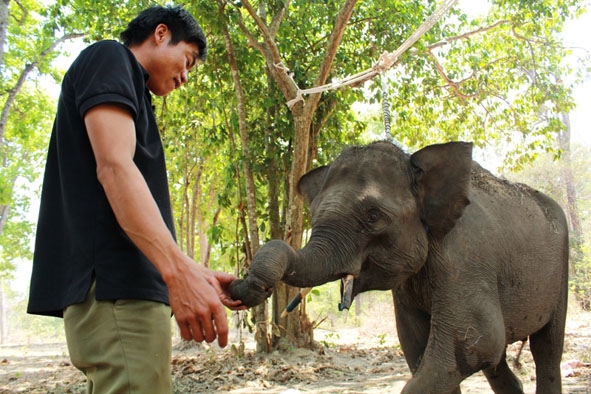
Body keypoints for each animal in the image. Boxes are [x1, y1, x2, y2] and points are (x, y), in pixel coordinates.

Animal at [230, 140, 568, 392]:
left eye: (373, 216)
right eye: (313, 215)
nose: (240, 286)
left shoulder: (465, 255)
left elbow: (474, 340)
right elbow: (415, 341)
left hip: (561, 268)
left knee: (546, 350)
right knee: (499, 363)